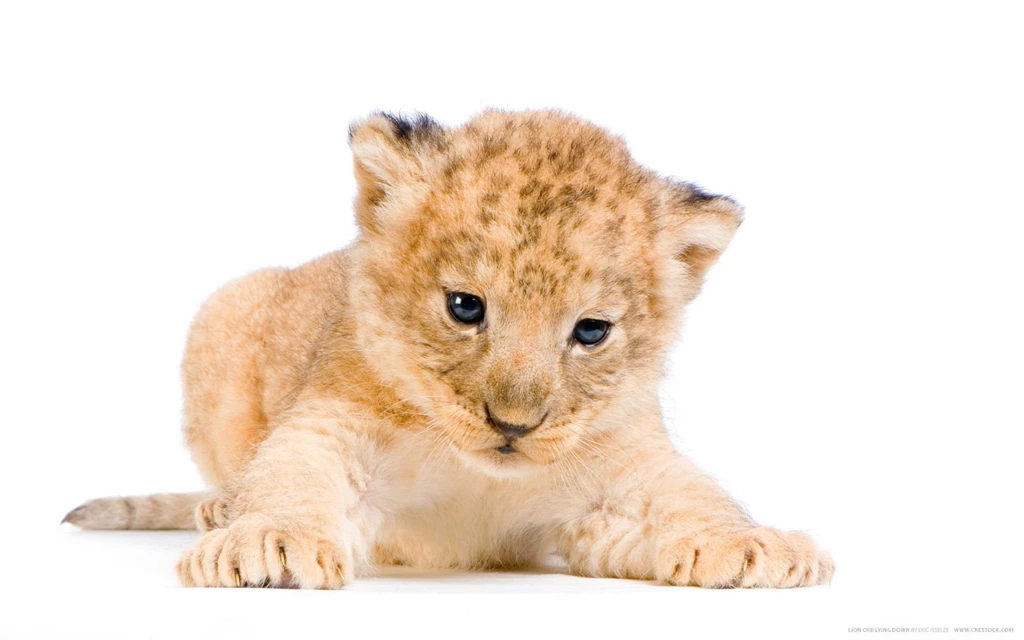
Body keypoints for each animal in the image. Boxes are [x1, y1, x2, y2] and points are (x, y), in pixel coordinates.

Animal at [64, 109, 833, 589]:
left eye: (591, 331)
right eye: (465, 307)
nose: (513, 426)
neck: (477, 474)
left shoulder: (614, 477)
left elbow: (689, 494)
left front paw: (754, 545)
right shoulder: (334, 423)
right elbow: (294, 473)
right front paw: (267, 540)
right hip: (224, 310)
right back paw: (220, 510)